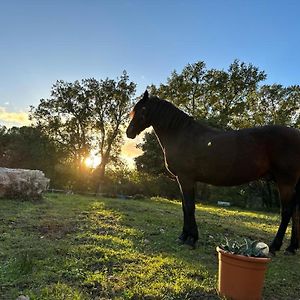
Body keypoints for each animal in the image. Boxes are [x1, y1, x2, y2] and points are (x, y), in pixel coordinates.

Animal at [125, 90, 300, 254]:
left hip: (285, 182)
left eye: (143, 109)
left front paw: (191, 239)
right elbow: (185, 207)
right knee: (295, 212)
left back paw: (275, 246)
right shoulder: (184, 181)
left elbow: (190, 207)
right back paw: (291, 247)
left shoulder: (186, 179)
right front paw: (184, 237)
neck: (181, 135)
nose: (129, 132)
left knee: (287, 212)